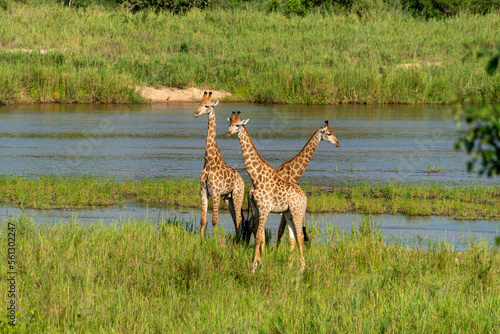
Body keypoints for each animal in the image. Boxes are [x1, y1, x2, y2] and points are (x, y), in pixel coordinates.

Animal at [193, 91, 244, 237]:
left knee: (239, 217)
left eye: (207, 105)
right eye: (199, 102)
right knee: (235, 217)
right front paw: (201, 239)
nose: (196, 113)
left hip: (237, 194)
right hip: (228, 197)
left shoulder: (215, 192)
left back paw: (239, 239)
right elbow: (203, 220)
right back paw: (237, 238)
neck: (209, 161)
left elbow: (215, 220)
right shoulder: (204, 191)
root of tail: (242, 180)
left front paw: (214, 241)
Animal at [226, 111, 304, 272]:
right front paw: (258, 263)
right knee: (294, 238)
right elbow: (259, 235)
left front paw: (254, 266)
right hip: (288, 214)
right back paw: (292, 267)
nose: (228, 133)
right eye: (229, 123)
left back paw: (302, 268)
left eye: (238, 125)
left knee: (300, 237)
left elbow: (258, 237)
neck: (256, 177)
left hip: (297, 212)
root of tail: (305, 198)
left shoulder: (264, 208)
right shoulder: (257, 208)